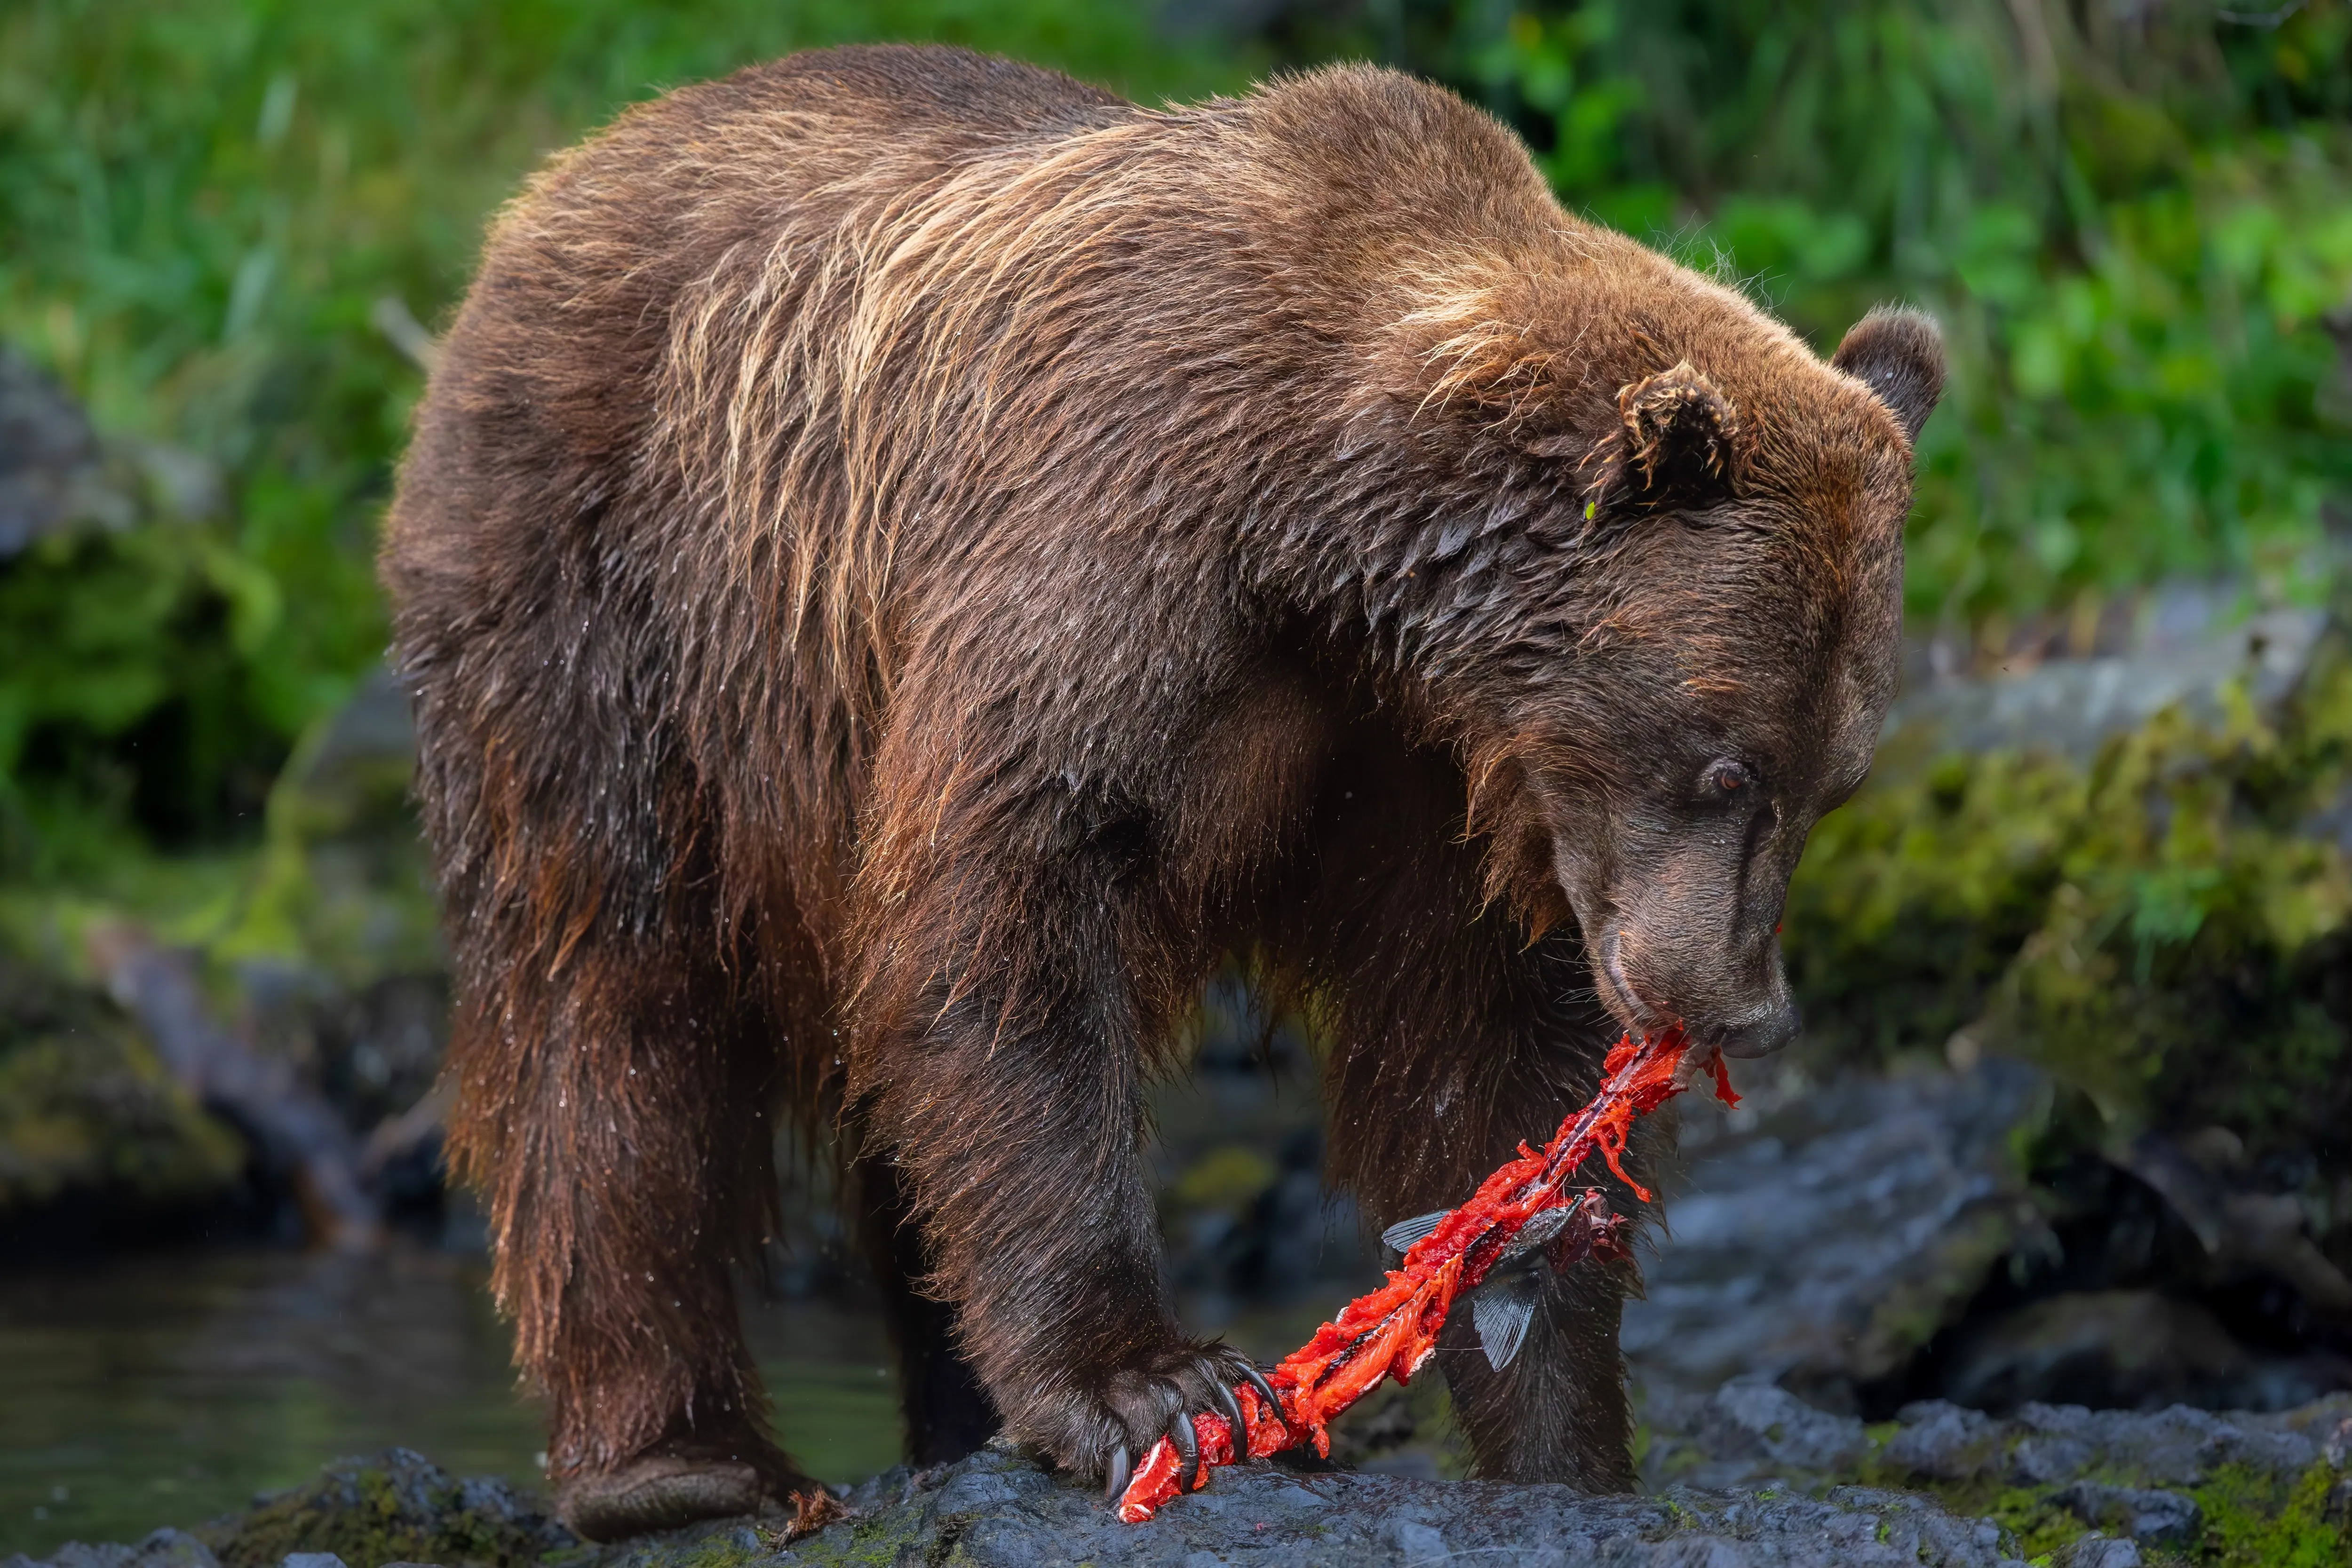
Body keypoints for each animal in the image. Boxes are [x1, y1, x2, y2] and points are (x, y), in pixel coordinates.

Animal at [380, 43, 1943, 1540]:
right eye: (1724, 758)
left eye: (1832, 780)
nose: (1740, 1001)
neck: (1336, 540)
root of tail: (559, 182)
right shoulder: (1117, 543)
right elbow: (1008, 912)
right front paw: (1153, 1385)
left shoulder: (1431, 767)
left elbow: (1477, 1057)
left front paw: (1562, 1429)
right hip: (617, 606)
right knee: (610, 1000)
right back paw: (676, 1460)